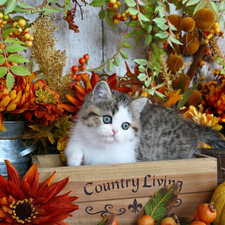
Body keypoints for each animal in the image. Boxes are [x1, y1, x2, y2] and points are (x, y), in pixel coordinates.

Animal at [64, 80, 225, 166]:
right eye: (107, 119)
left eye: (125, 126)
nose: (115, 131)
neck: (101, 145)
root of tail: (189, 126)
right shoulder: (77, 135)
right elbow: (72, 151)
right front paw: (76, 158)